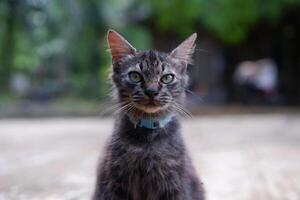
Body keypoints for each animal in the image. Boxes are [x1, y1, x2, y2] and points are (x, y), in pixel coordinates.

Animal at [92, 29, 205, 200]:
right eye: (135, 76)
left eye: (167, 78)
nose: (152, 91)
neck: (148, 139)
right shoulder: (115, 182)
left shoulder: (175, 182)